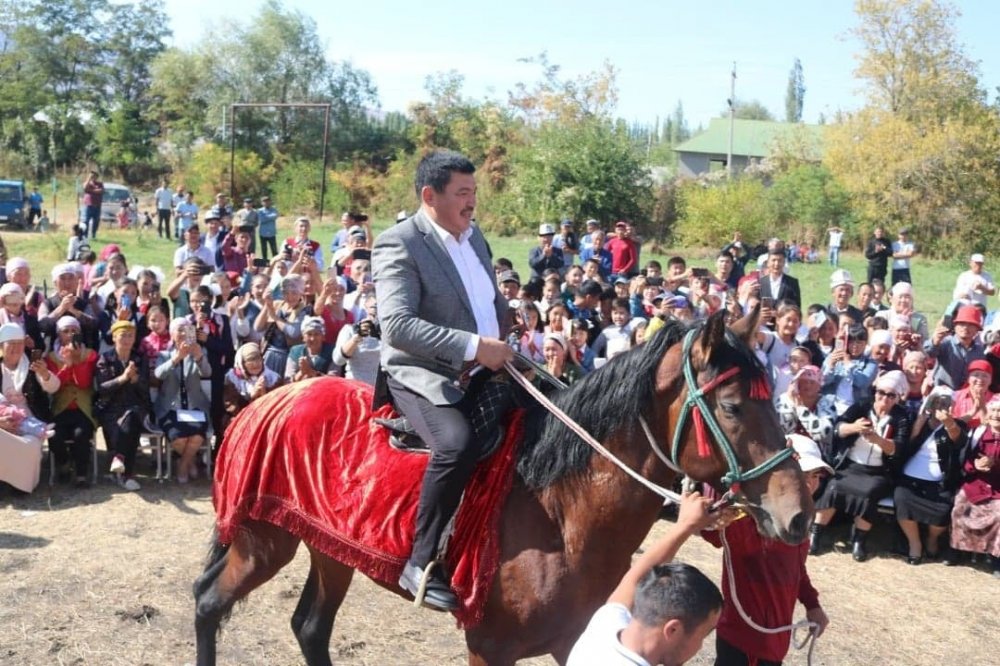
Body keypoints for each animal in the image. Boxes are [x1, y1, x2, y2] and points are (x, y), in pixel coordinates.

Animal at [193, 309, 814, 665]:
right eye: (732, 407)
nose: (799, 515)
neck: (561, 512)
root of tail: (270, 400)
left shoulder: (573, 641)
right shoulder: (489, 650)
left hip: (330, 548)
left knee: (310, 629)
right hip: (262, 542)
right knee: (208, 604)